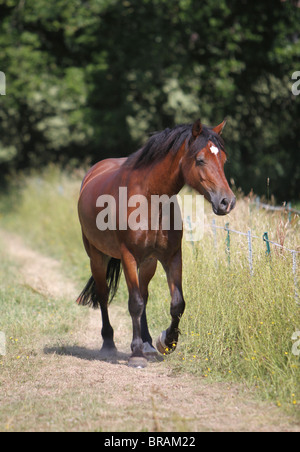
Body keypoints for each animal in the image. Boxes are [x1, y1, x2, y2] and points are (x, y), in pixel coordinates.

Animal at [76, 119, 236, 368]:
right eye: (200, 159)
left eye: (224, 160)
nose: (226, 202)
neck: (149, 198)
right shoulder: (129, 256)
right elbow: (134, 303)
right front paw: (136, 354)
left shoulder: (172, 256)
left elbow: (177, 303)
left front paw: (166, 342)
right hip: (97, 257)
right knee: (104, 295)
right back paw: (109, 343)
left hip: (148, 263)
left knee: (144, 294)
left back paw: (149, 345)